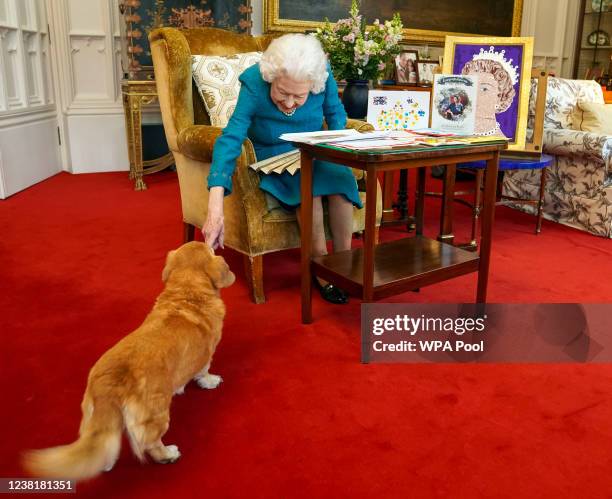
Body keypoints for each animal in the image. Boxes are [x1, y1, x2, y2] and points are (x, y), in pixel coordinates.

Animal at [23, 242, 234, 480]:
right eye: (209, 249)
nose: (210, 241)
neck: (186, 293)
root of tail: (109, 383)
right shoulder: (207, 353)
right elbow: (204, 371)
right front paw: (210, 381)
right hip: (156, 415)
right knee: (151, 443)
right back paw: (168, 454)